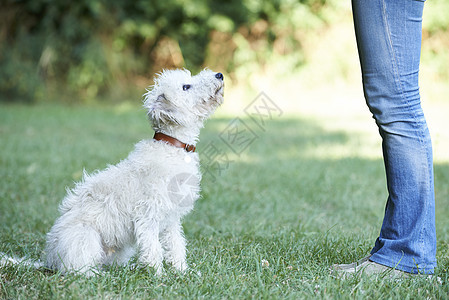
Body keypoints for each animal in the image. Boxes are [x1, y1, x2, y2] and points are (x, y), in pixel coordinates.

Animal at [0, 69, 224, 276]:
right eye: (186, 86)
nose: (220, 75)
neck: (172, 147)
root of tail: (50, 261)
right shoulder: (148, 216)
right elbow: (154, 248)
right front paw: (159, 276)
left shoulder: (171, 219)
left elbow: (176, 245)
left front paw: (182, 272)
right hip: (85, 237)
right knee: (78, 270)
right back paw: (99, 275)